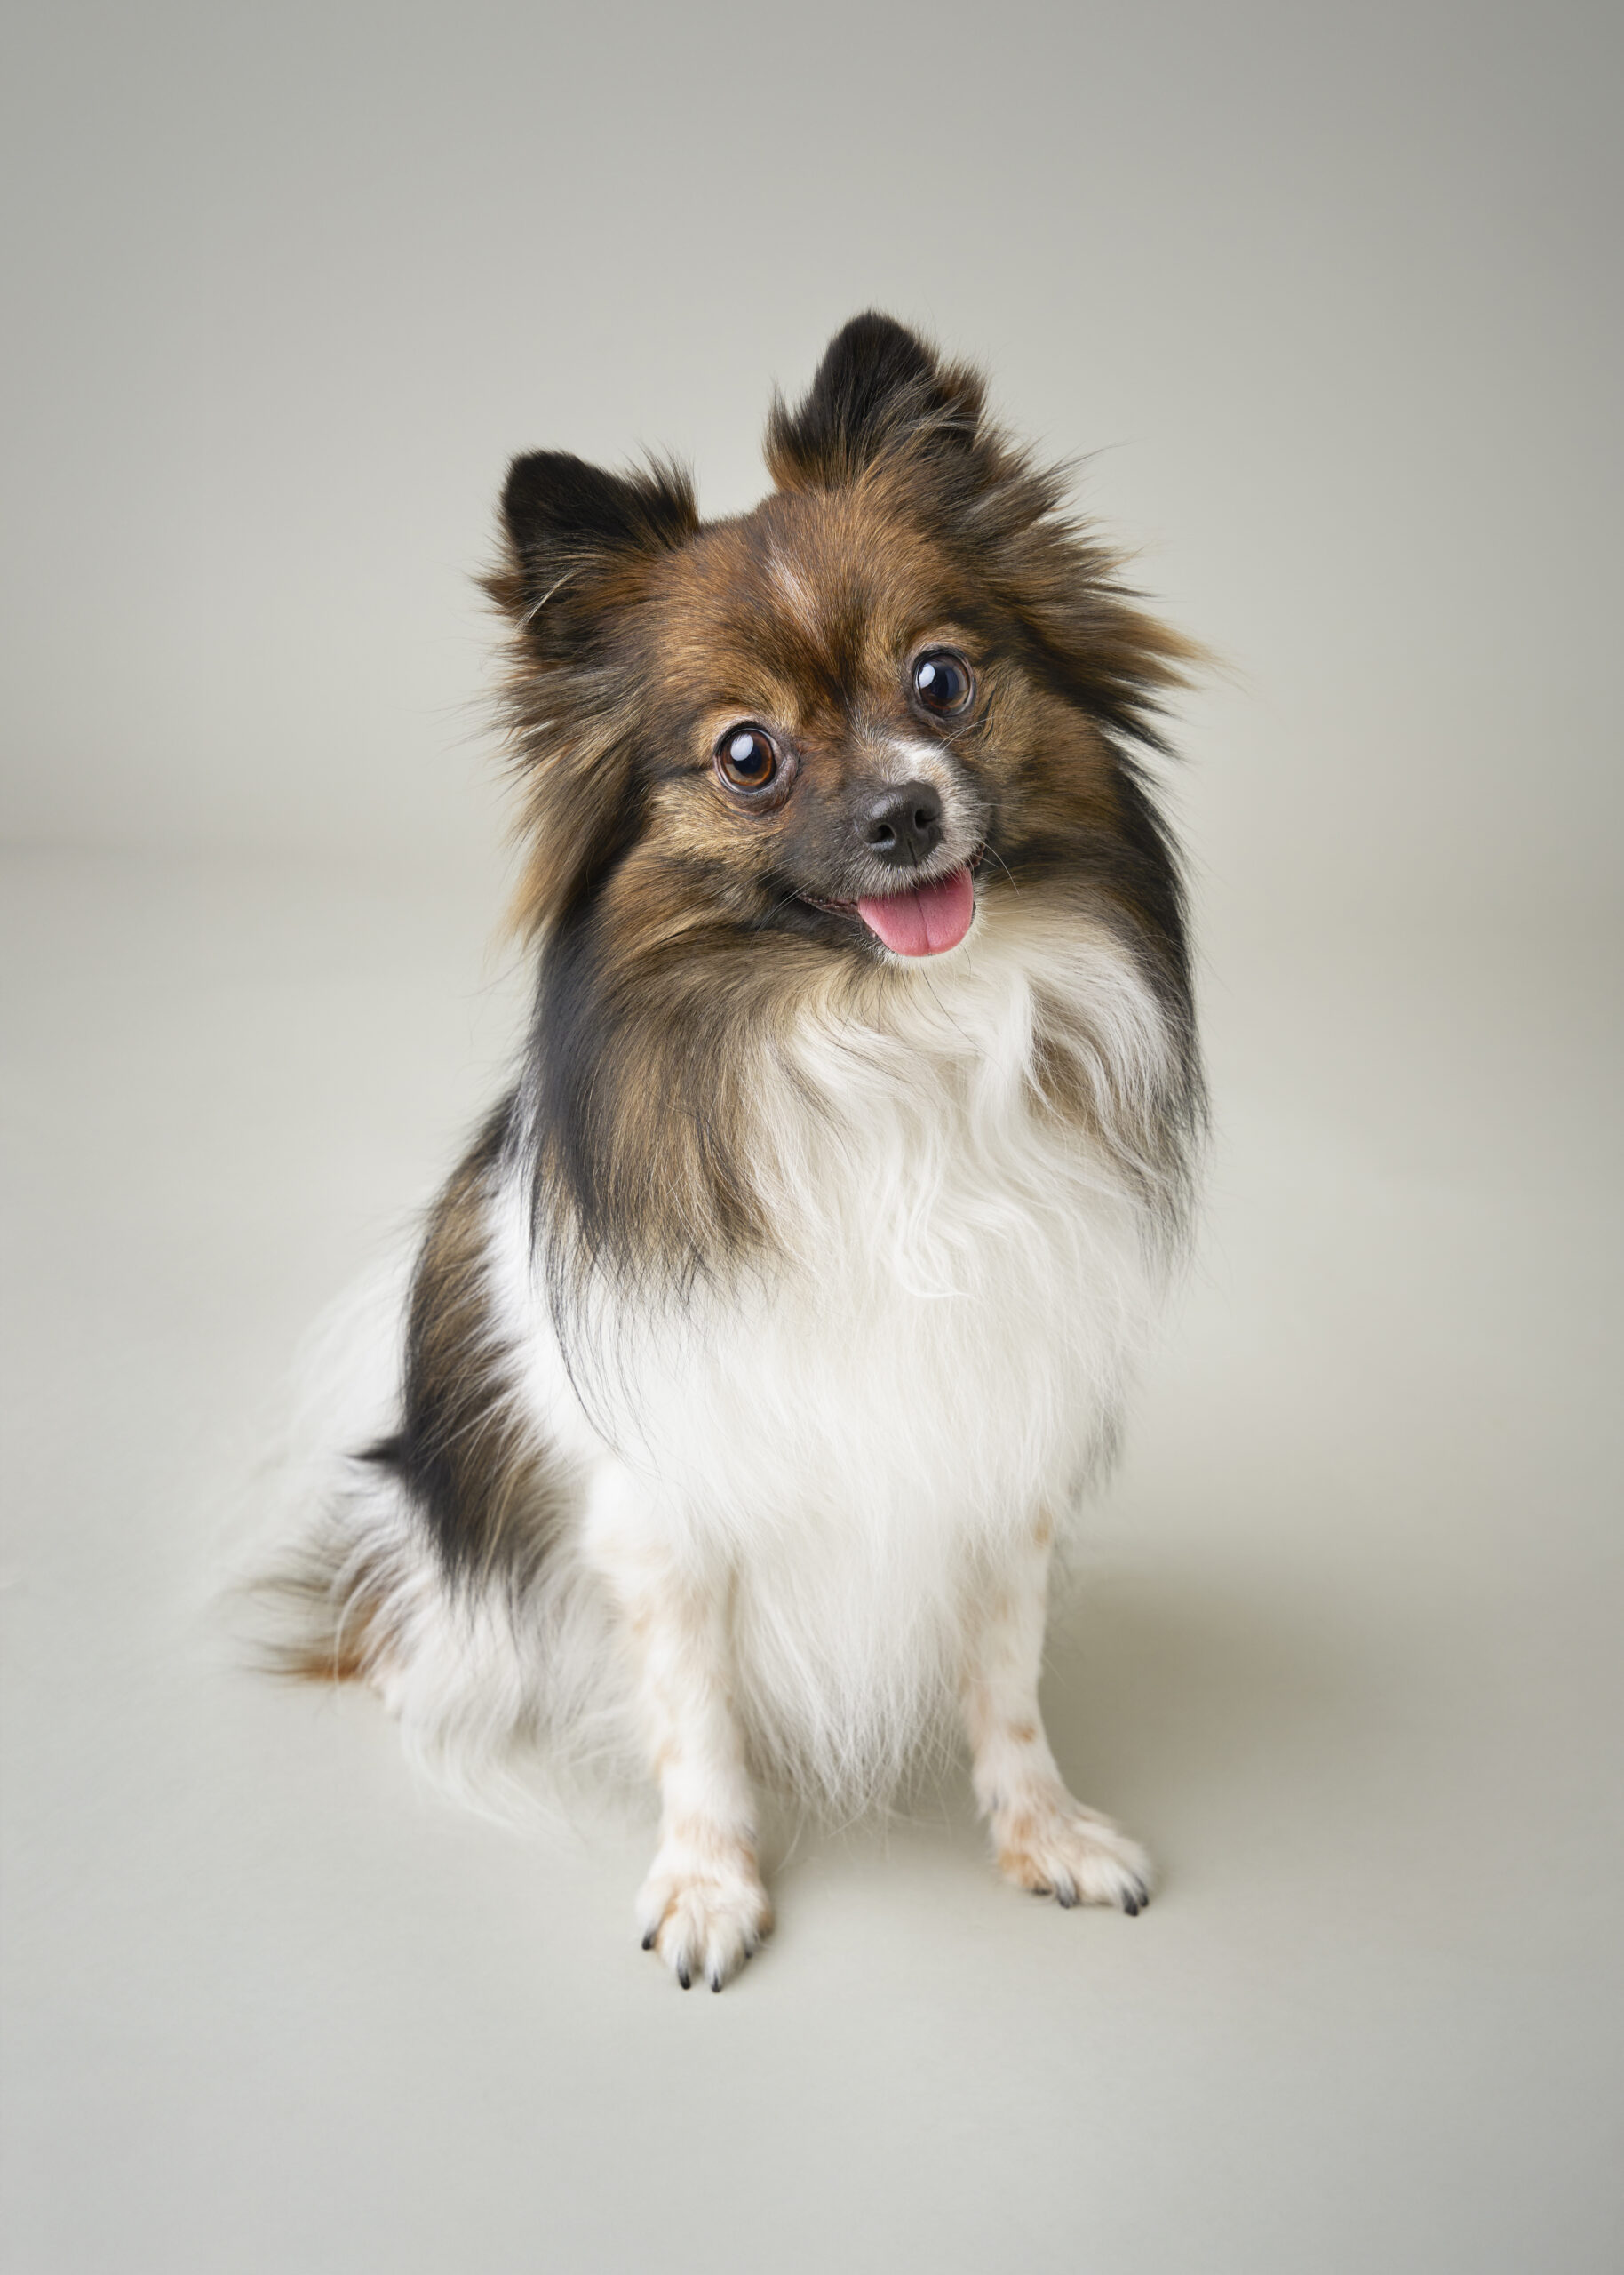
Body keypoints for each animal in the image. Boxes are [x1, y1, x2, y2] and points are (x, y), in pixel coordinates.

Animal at [270, 314, 1204, 1990]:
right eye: (748, 757)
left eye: (941, 681)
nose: (903, 813)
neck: (886, 1041)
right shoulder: (663, 1504)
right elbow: (693, 1718)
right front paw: (709, 1886)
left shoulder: (1000, 1452)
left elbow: (1008, 1679)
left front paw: (1042, 1833)